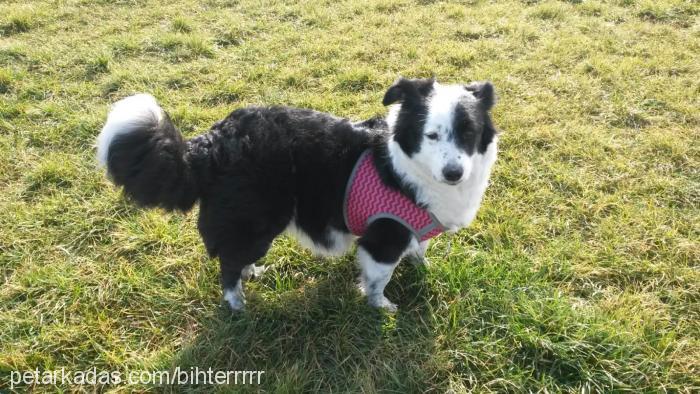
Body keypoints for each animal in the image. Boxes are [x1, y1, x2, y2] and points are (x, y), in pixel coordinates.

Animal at [95, 77, 498, 310]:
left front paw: (422, 266)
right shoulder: (382, 237)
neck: (406, 164)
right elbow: (378, 279)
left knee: (235, 257)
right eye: (431, 134)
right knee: (228, 264)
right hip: (256, 224)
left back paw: (251, 275)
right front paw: (381, 307)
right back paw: (237, 303)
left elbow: (419, 248)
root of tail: (211, 143)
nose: (454, 173)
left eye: (469, 133)